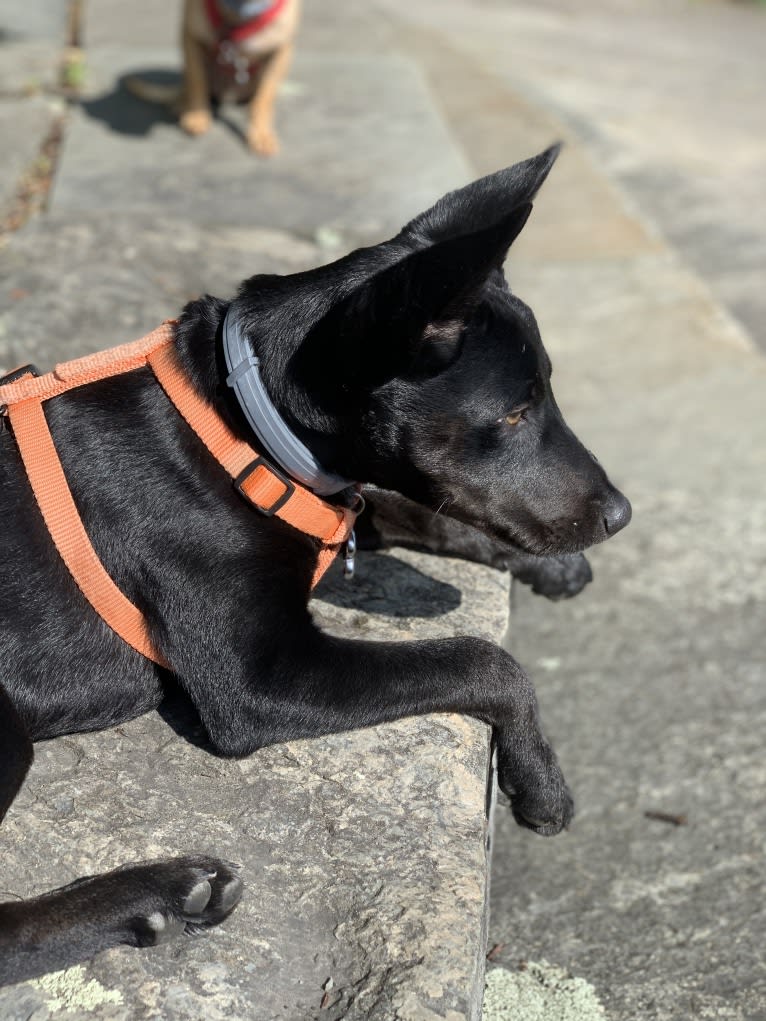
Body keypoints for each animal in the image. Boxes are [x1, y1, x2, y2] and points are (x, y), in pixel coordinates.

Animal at [0, 148, 629, 984]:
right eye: (516, 412)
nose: (621, 513)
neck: (242, 424)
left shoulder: (346, 504)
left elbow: (405, 507)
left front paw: (549, 568)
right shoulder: (258, 680)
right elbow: (484, 660)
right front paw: (542, 779)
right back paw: (155, 891)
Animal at [127, 0, 302, 154]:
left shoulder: (281, 52)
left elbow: (264, 99)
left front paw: (260, 133)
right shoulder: (190, 36)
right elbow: (197, 81)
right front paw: (198, 116)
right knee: (187, 87)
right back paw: (181, 104)